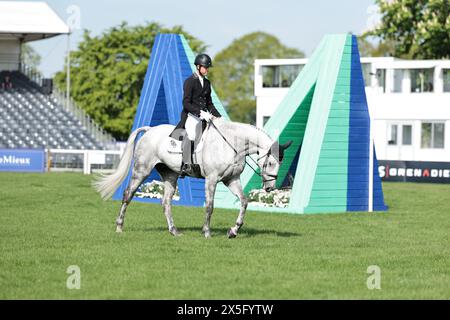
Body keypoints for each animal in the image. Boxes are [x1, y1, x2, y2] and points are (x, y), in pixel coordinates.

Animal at [93, 117, 294, 238]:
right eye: (270, 163)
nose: (270, 188)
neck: (231, 144)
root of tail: (150, 130)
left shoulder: (231, 179)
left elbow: (244, 201)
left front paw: (233, 230)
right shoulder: (212, 179)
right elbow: (209, 206)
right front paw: (207, 232)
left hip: (170, 174)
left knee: (166, 202)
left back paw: (174, 231)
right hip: (142, 170)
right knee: (128, 194)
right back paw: (119, 226)